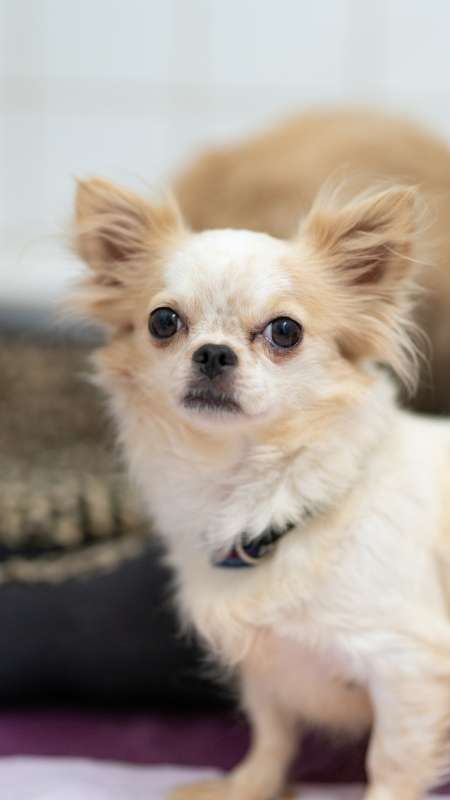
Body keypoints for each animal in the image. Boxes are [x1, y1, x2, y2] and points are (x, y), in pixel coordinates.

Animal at [72, 176, 450, 800]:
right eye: (163, 322)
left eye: (285, 332)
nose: (213, 352)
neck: (261, 503)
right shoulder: (265, 665)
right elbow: (272, 734)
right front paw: (246, 786)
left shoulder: (408, 668)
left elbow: (388, 766)